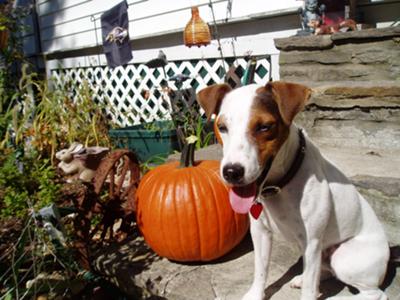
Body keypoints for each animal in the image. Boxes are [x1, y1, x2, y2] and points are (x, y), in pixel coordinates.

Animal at [197, 82, 390, 300]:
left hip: (344, 258)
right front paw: (256, 294)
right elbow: (261, 270)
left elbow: (309, 290)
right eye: (222, 127)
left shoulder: (312, 241)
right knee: (322, 272)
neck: (279, 185)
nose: (231, 172)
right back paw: (303, 279)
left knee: (374, 293)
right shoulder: (261, 233)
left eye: (264, 127)